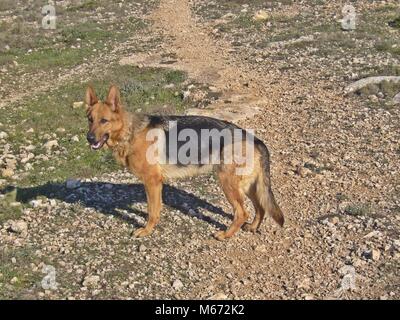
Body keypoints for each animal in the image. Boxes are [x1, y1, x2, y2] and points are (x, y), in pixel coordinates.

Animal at [85, 85, 282, 240]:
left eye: (104, 121)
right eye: (90, 120)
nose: (89, 138)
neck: (129, 132)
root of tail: (255, 139)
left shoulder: (151, 182)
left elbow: (152, 211)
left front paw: (146, 230)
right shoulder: (155, 184)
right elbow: (156, 209)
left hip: (228, 183)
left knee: (242, 212)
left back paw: (225, 234)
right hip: (248, 185)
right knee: (261, 208)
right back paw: (253, 227)